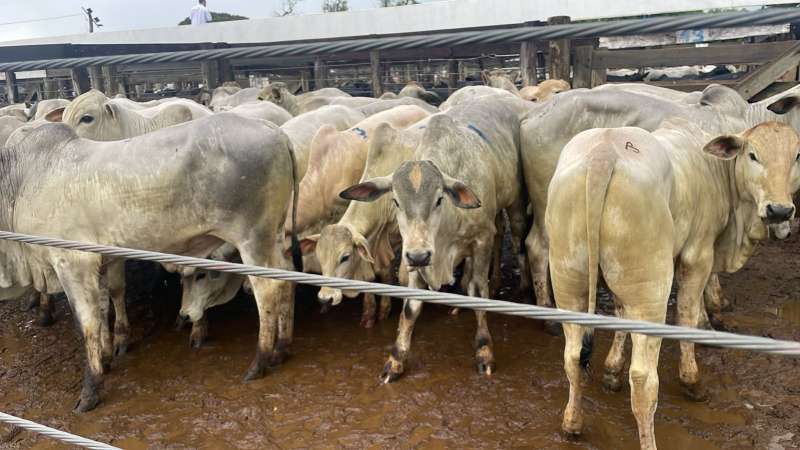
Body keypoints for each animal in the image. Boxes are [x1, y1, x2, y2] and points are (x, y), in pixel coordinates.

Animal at [0, 113, 301, 411]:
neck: (19, 183)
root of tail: (276, 132)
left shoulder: (73, 262)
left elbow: (87, 323)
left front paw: (90, 390)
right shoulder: (102, 262)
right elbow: (104, 307)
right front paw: (107, 356)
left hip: (253, 239)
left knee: (268, 289)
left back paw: (260, 361)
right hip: (273, 237)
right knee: (287, 275)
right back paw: (281, 348)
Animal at [340, 96, 531, 383]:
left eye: (439, 198)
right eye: (396, 201)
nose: (420, 256)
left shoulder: (481, 240)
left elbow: (479, 291)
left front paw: (484, 350)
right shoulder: (414, 254)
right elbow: (411, 307)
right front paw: (395, 359)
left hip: (515, 203)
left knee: (515, 237)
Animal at [546, 119, 800, 450]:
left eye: (796, 156)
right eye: (753, 155)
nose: (780, 210)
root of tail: (604, 151)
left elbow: (619, 313)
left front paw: (612, 371)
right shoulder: (698, 255)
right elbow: (688, 314)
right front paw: (692, 379)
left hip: (570, 281)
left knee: (573, 357)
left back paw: (572, 424)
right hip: (651, 287)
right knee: (643, 379)